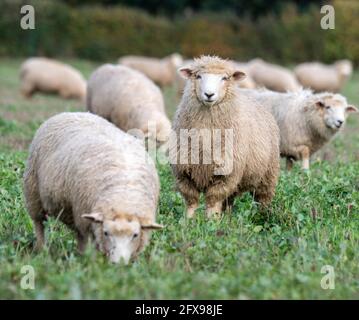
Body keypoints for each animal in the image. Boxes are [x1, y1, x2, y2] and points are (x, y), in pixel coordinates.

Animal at [23, 111, 162, 264]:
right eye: (106, 233)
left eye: (135, 235)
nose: (117, 263)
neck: (123, 194)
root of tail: (72, 112)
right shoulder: (86, 222)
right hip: (33, 192)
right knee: (39, 223)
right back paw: (42, 249)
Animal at [172, 56, 282, 219]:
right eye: (198, 76)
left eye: (224, 78)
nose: (209, 94)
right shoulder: (184, 173)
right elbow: (191, 200)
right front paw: (188, 221)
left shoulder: (225, 174)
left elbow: (213, 200)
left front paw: (211, 221)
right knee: (229, 200)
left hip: (267, 175)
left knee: (262, 199)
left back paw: (263, 216)